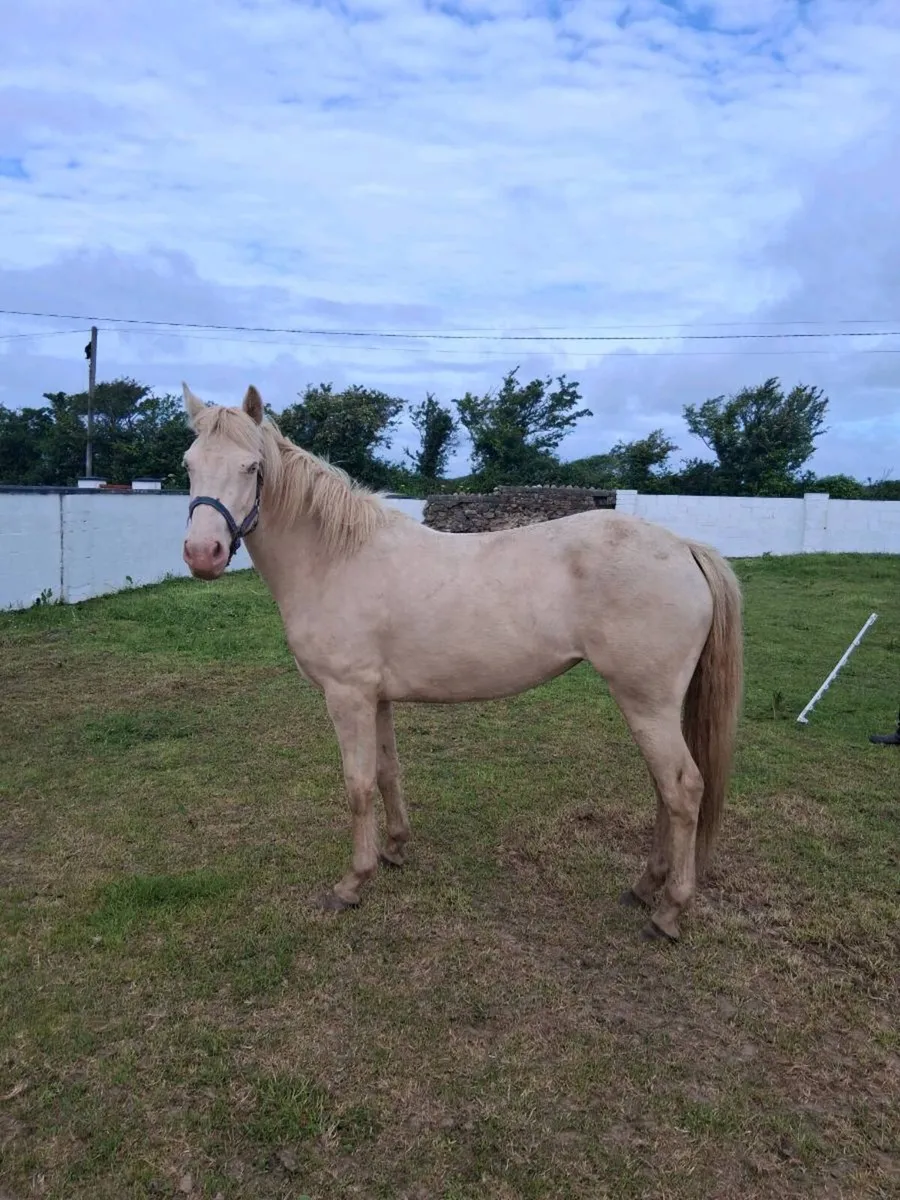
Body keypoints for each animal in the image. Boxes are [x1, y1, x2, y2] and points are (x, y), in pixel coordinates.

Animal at [180, 384, 743, 943]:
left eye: (252, 467)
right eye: (188, 464)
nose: (203, 554)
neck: (336, 558)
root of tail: (684, 548)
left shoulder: (347, 696)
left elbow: (357, 785)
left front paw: (351, 884)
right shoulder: (375, 697)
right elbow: (387, 771)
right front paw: (395, 849)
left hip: (645, 701)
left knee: (682, 789)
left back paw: (667, 912)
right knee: (664, 790)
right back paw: (645, 887)